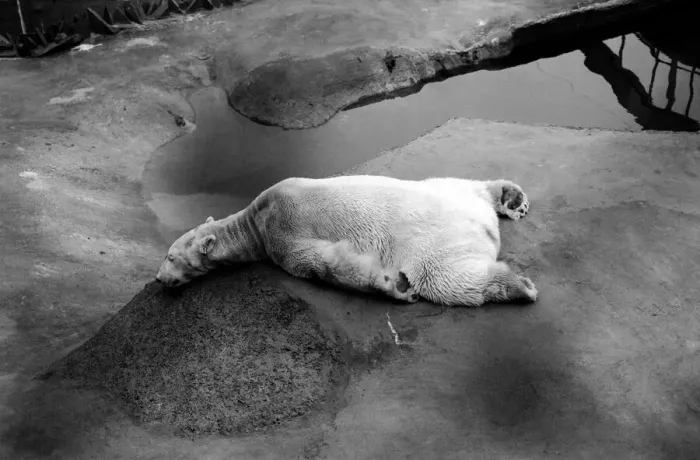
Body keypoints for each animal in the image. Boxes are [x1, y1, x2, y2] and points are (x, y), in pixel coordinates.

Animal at [155, 175, 536, 307]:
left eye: (170, 257)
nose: (158, 279)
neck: (254, 221)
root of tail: (483, 224)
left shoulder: (283, 230)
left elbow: (321, 262)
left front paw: (394, 285)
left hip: (436, 243)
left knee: (449, 280)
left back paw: (519, 285)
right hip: (447, 190)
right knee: (467, 184)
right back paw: (510, 198)